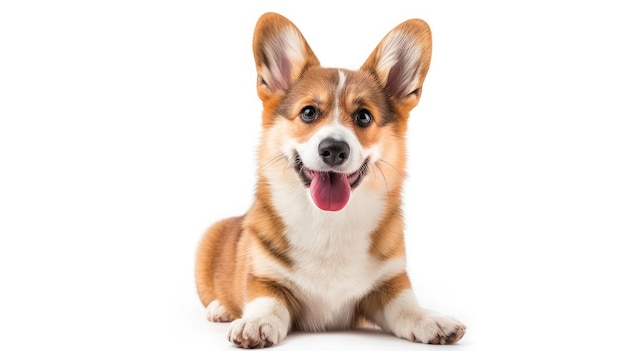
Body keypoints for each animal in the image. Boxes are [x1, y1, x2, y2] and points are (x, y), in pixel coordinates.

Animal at [195, 11, 464, 350]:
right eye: (309, 112)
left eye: (364, 116)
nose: (334, 149)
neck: (329, 223)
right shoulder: (264, 277)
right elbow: (267, 301)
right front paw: (255, 323)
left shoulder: (389, 281)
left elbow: (405, 305)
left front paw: (431, 320)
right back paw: (219, 309)